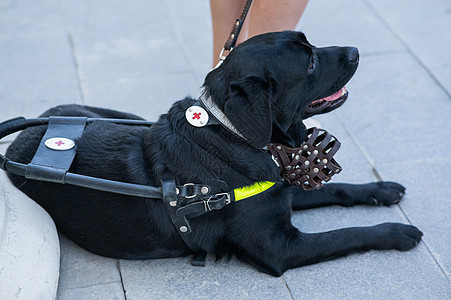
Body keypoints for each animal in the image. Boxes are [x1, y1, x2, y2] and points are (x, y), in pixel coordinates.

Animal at [5, 31, 422, 276]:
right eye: (310, 61)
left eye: (312, 47)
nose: (355, 50)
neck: (232, 135)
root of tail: (27, 133)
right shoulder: (281, 248)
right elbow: (347, 234)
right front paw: (396, 231)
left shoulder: (276, 188)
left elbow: (334, 189)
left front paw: (380, 189)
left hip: (122, 117)